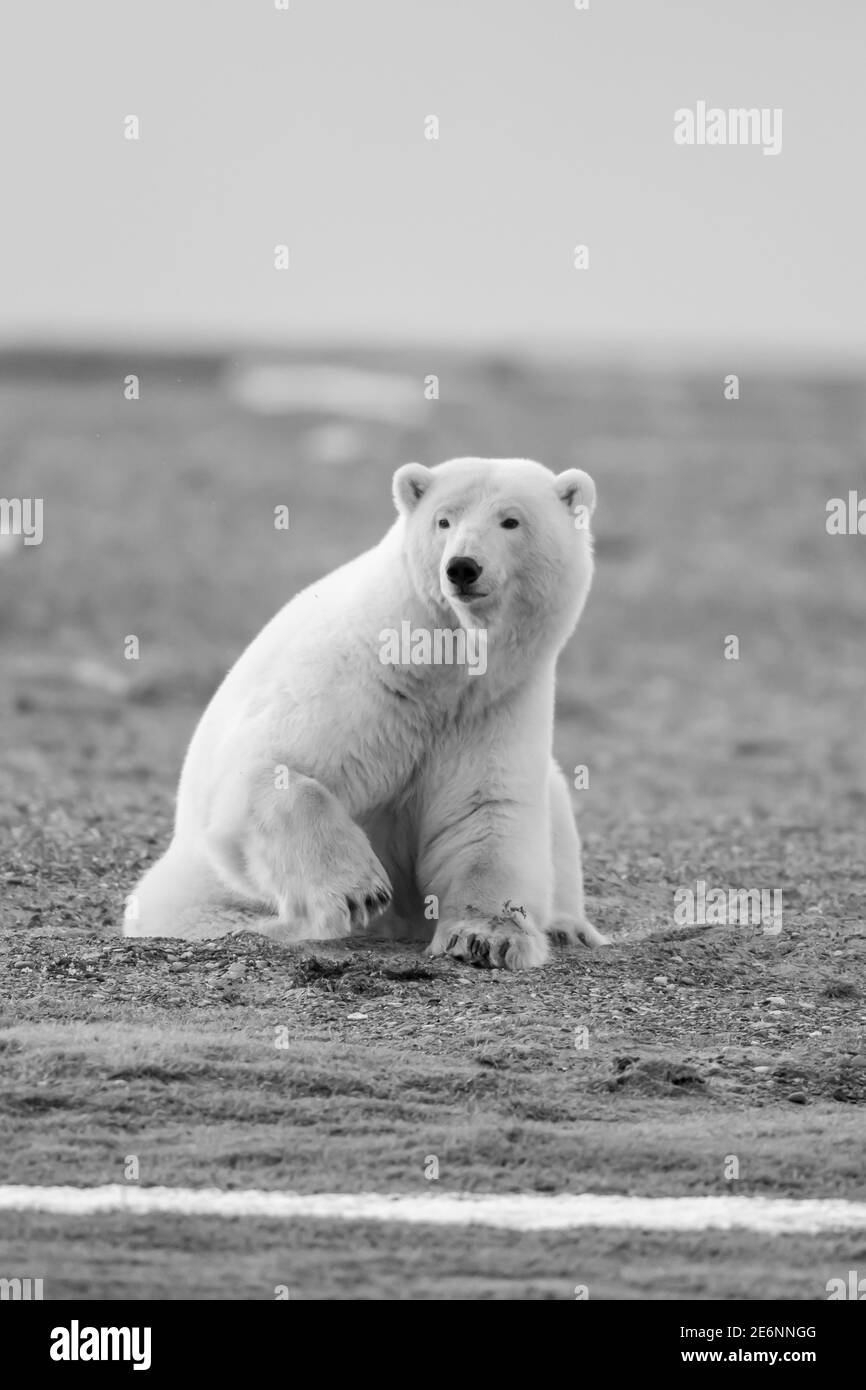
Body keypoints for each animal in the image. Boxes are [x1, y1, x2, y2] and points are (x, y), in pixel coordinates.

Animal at [123, 455, 608, 967]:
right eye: (443, 520)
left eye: (511, 521)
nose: (462, 567)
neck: (436, 669)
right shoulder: (353, 683)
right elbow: (262, 769)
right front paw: (357, 890)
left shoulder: (493, 706)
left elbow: (484, 814)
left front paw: (485, 938)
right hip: (194, 883)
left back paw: (569, 929)